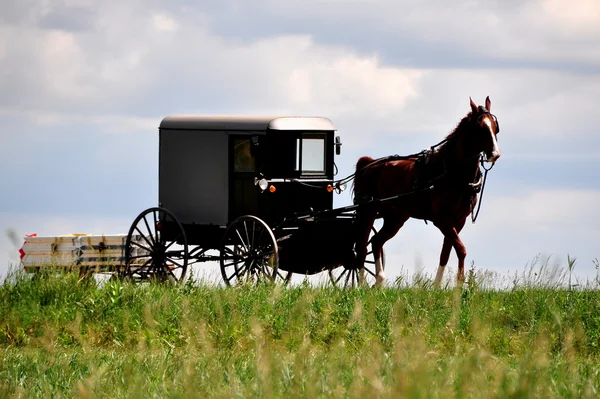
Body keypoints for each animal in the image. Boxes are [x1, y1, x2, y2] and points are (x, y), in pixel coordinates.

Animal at [352, 96, 502, 288]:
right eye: (481, 128)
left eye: (495, 127)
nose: (495, 154)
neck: (450, 171)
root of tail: (369, 163)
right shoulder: (442, 220)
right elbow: (461, 249)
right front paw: (459, 284)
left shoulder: (458, 221)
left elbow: (446, 253)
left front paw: (437, 287)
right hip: (368, 211)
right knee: (362, 247)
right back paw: (362, 285)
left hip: (395, 217)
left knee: (376, 242)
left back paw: (379, 280)